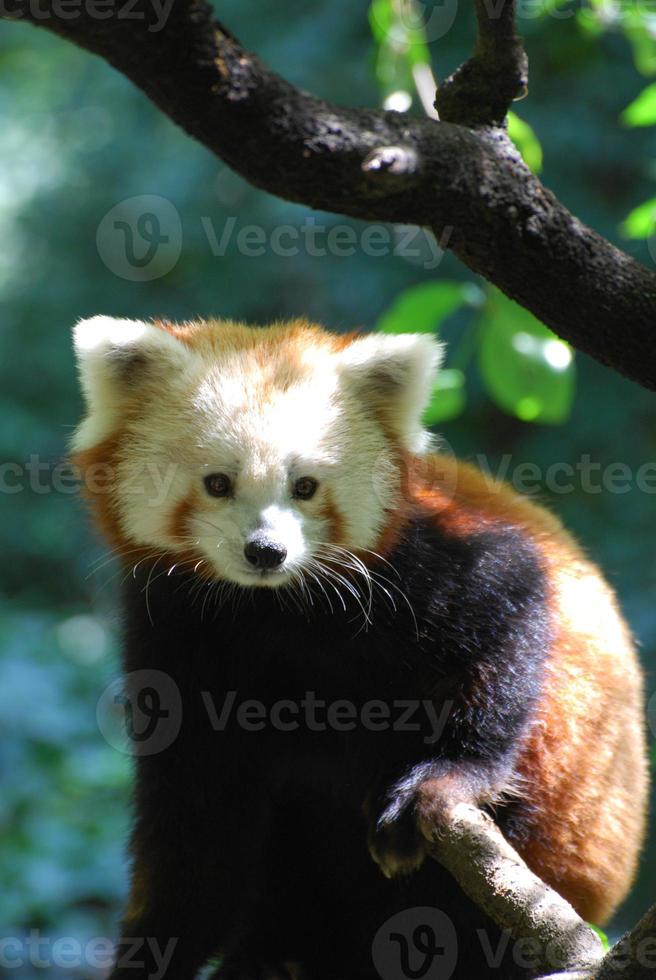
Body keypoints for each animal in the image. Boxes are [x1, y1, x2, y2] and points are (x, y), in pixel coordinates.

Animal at [72, 316, 644, 980]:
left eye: (305, 486)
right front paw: (153, 952)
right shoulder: (175, 633)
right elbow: (198, 835)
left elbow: (514, 603)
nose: (266, 551)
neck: (270, 608)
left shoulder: (422, 565)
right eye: (218, 483)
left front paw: (447, 777)